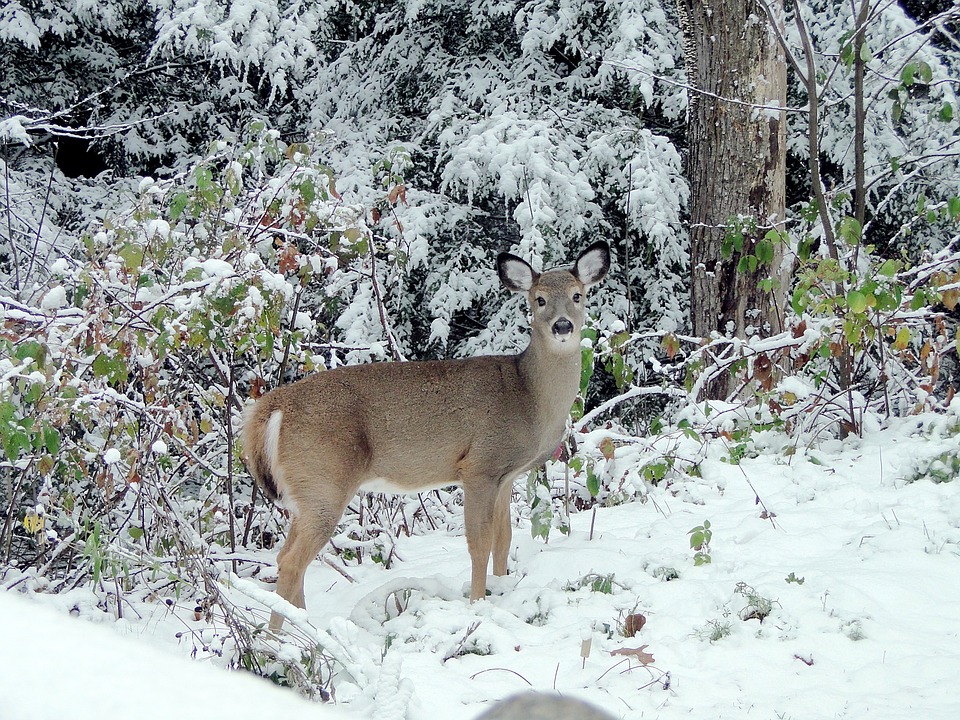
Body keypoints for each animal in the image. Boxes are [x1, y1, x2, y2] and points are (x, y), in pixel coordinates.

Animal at [244, 239, 612, 628]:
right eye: (539, 299)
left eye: (577, 295)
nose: (562, 326)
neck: (528, 396)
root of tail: (273, 406)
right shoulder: (479, 465)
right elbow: (479, 543)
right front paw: (478, 603)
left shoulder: (505, 475)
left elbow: (504, 539)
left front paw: (501, 591)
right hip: (323, 479)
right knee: (291, 561)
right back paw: (282, 636)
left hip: (305, 491)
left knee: (286, 557)